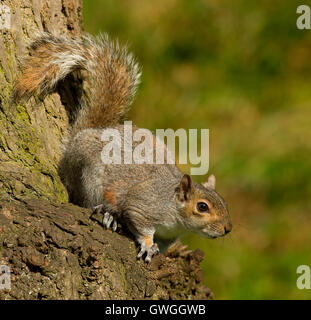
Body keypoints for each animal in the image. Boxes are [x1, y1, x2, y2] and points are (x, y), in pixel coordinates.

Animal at [14, 32, 233, 262]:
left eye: (225, 203)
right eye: (202, 206)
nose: (228, 228)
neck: (172, 206)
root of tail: (85, 134)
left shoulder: (168, 236)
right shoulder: (141, 205)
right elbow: (140, 225)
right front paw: (147, 245)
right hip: (89, 175)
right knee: (87, 200)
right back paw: (108, 213)